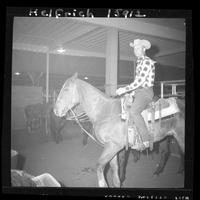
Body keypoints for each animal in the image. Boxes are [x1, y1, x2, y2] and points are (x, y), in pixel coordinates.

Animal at [52, 73, 184, 188]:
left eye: (66, 89)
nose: (55, 110)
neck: (105, 111)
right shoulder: (112, 148)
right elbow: (115, 172)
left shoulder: (114, 146)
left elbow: (100, 166)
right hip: (166, 137)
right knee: (165, 152)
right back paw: (158, 172)